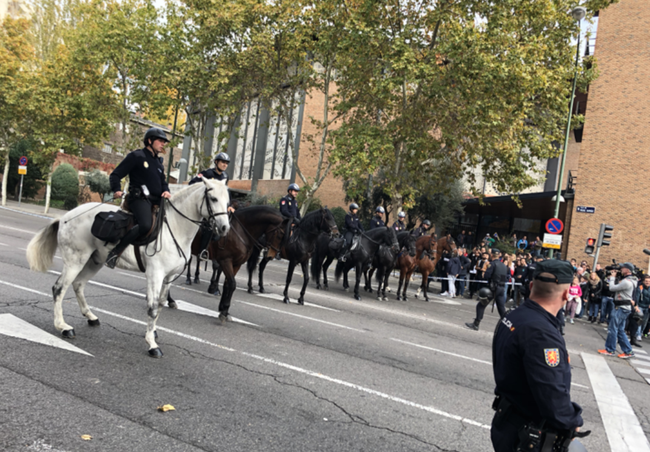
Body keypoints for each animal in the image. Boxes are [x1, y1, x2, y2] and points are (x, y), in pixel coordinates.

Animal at [26, 178, 229, 358]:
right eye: (213, 199)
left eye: (227, 201)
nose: (225, 228)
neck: (175, 227)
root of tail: (65, 217)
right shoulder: (155, 274)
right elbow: (152, 307)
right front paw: (151, 344)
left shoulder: (169, 277)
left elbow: (161, 304)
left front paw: (153, 332)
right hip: (75, 261)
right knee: (59, 288)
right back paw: (62, 326)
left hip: (94, 261)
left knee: (78, 285)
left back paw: (90, 317)